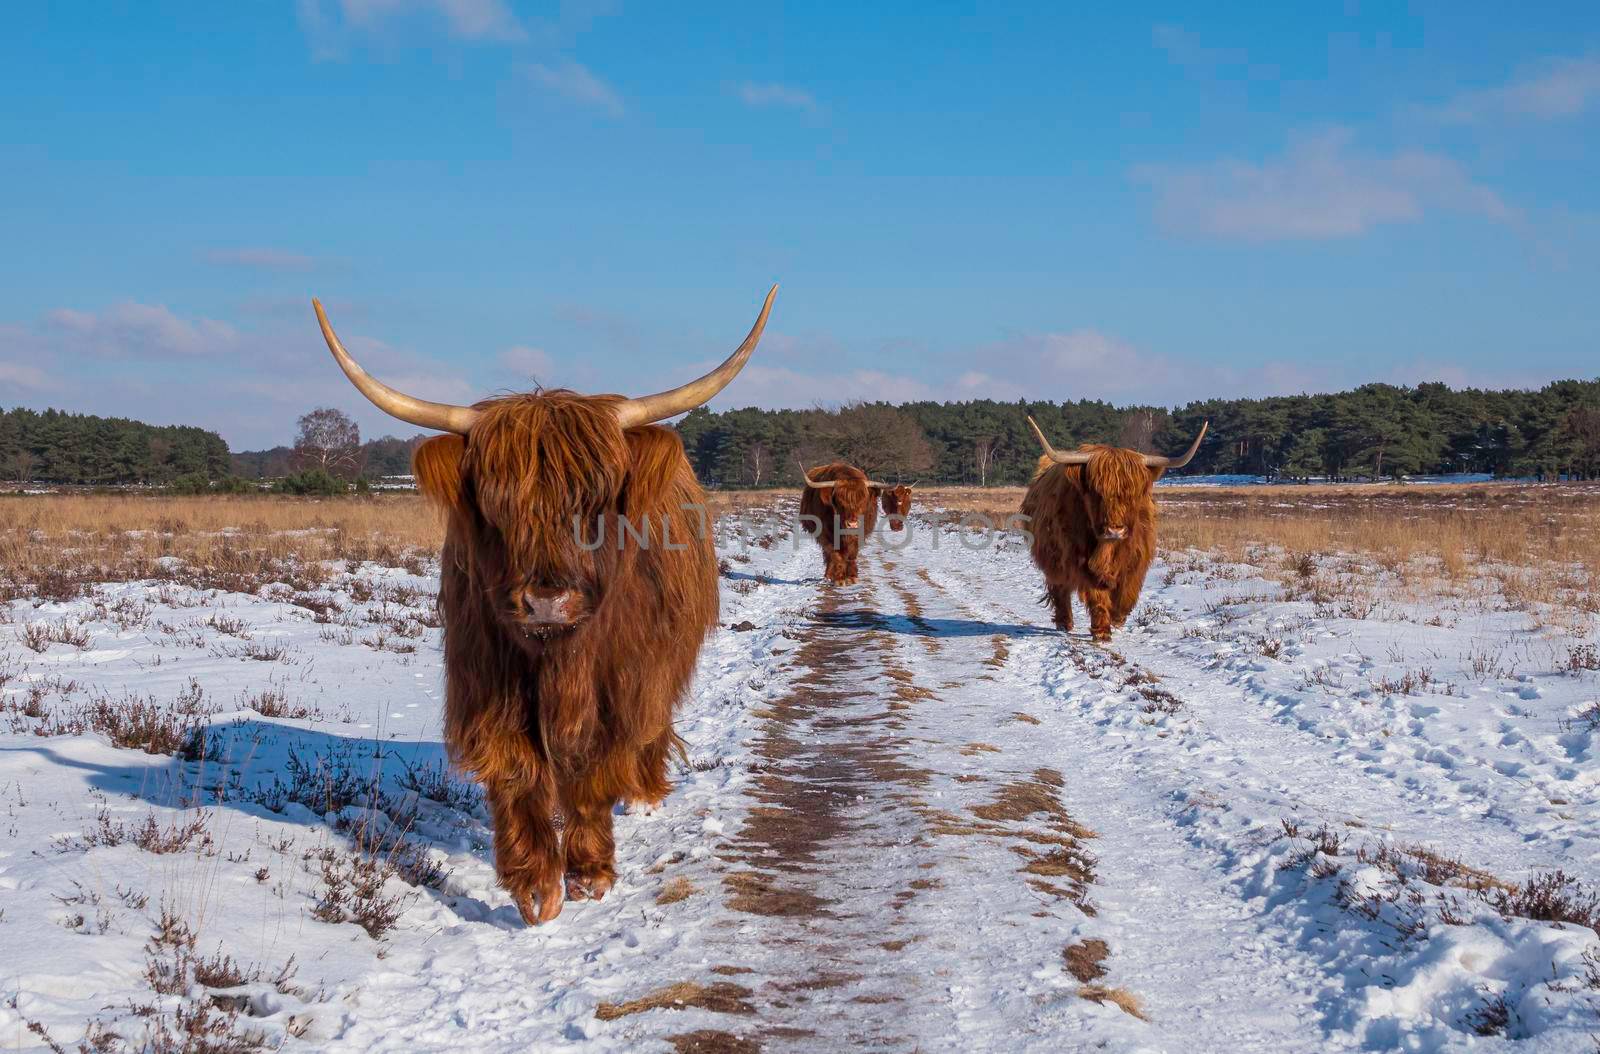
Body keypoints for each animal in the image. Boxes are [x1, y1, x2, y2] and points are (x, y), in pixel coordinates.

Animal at [1017, 415, 1203, 639]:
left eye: (1133, 494)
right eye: (1097, 492)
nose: (1115, 530)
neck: (1109, 548)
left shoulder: (1136, 558)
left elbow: (1127, 591)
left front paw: (1118, 618)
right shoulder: (1080, 560)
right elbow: (1097, 593)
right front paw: (1102, 630)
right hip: (1054, 559)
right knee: (1060, 588)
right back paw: (1064, 623)